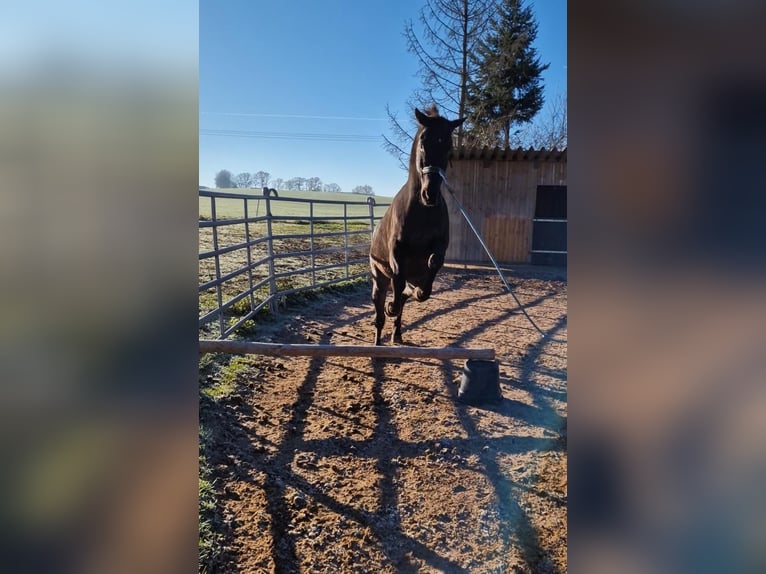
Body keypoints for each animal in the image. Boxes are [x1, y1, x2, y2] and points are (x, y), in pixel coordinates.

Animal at [368, 106, 464, 344]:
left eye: (449, 146)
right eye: (423, 141)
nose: (430, 194)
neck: (422, 211)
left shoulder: (439, 248)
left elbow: (433, 266)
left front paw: (419, 292)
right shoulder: (396, 253)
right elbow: (398, 277)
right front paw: (391, 306)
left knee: (405, 297)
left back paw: (397, 334)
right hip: (378, 279)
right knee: (380, 311)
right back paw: (379, 337)